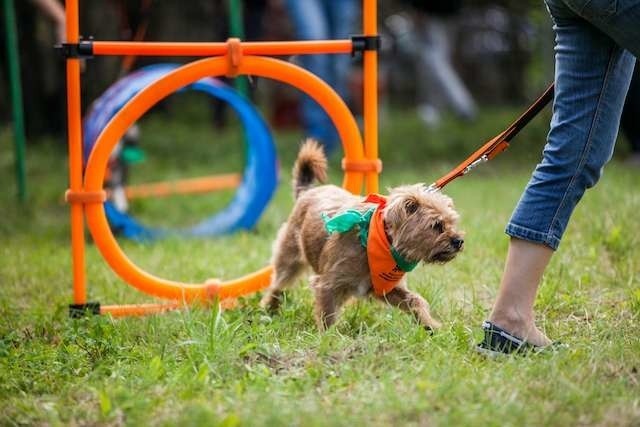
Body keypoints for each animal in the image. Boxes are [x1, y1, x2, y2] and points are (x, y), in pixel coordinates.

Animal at [260, 140, 464, 332]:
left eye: (452, 222)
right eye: (436, 225)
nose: (459, 241)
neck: (377, 239)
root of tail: (306, 191)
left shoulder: (386, 288)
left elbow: (415, 300)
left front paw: (430, 324)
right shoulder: (327, 284)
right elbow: (327, 315)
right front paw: (328, 338)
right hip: (289, 258)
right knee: (278, 283)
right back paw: (269, 308)